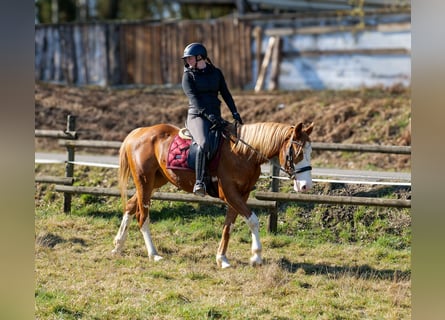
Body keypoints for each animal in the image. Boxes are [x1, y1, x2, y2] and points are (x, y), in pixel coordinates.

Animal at [111, 120, 312, 268]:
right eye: (297, 152)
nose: (306, 186)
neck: (242, 153)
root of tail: (138, 133)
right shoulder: (230, 193)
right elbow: (253, 220)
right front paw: (256, 256)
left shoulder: (242, 194)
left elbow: (229, 226)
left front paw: (222, 259)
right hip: (144, 182)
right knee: (143, 216)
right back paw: (153, 254)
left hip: (155, 182)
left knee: (130, 206)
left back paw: (118, 246)